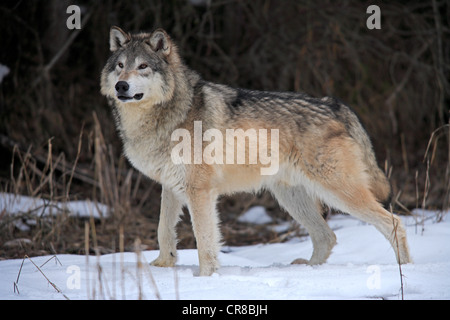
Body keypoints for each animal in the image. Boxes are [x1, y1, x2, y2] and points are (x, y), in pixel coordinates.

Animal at [101, 26, 412, 276]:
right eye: (120, 65)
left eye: (143, 66)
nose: (121, 86)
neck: (168, 114)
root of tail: (335, 105)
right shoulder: (171, 186)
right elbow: (164, 230)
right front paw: (162, 267)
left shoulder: (199, 192)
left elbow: (205, 241)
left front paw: (206, 277)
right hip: (291, 198)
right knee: (327, 237)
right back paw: (309, 272)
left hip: (339, 194)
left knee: (394, 223)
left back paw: (406, 271)